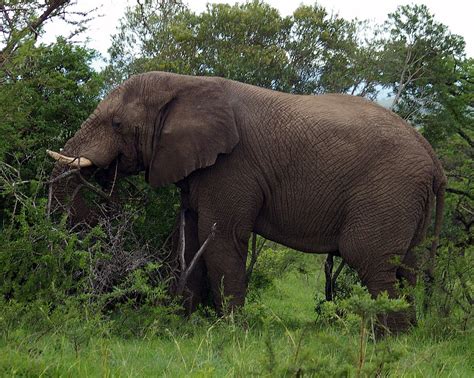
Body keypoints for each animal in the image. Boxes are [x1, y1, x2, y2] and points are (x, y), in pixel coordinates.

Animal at [48, 71, 444, 334]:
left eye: (116, 124)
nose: (103, 184)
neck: (183, 83)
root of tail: (432, 156)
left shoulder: (232, 166)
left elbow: (221, 238)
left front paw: (230, 330)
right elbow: (190, 235)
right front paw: (180, 321)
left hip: (388, 189)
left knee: (371, 259)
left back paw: (384, 339)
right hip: (405, 199)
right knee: (406, 266)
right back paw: (408, 335)